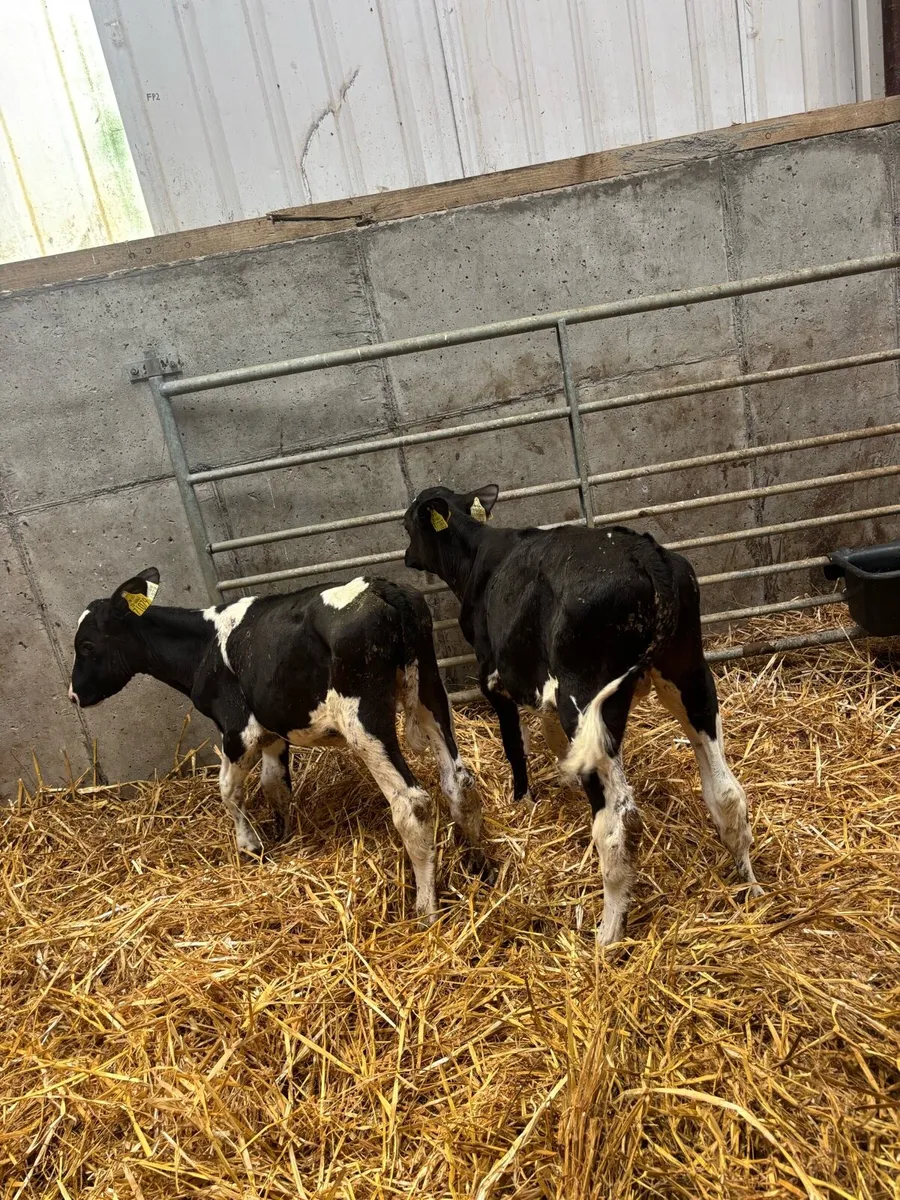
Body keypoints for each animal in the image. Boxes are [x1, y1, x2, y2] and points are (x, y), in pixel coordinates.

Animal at [68, 568, 494, 924]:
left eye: (86, 646)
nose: (73, 695)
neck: (203, 648)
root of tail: (382, 587)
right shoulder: (272, 732)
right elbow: (275, 785)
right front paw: (283, 835)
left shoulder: (238, 731)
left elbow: (228, 790)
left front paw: (249, 845)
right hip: (431, 695)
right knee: (459, 782)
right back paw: (480, 866)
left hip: (365, 721)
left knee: (412, 803)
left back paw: (426, 909)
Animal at [402, 483, 762, 944]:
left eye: (408, 523)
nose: (406, 556)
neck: (478, 556)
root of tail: (647, 556)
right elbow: (550, 733)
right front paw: (562, 776)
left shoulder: (493, 678)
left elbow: (514, 743)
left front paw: (522, 797)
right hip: (689, 674)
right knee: (727, 792)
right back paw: (749, 884)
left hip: (589, 697)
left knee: (618, 824)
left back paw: (608, 933)